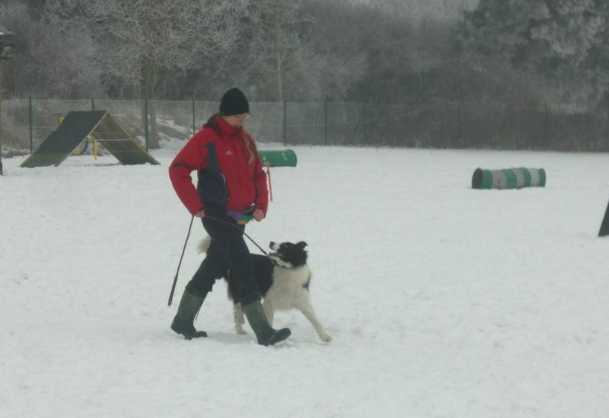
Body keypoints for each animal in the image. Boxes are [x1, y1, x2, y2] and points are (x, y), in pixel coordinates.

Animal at [198, 237, 332, 342]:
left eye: (285, 246)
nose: (271, 242)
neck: (288, 270)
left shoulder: (303, 302)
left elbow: (315, 320)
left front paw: (325, 337)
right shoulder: (269, 302)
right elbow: (268, 320)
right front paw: (271, 336)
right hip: (240, 288)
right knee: (237, 309)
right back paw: (240, 328)